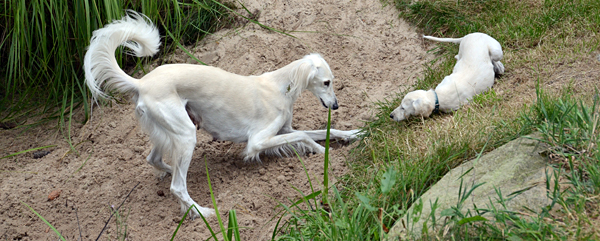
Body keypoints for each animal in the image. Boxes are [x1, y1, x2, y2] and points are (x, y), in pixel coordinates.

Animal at [83, 10, 356, 218]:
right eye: (326, 82)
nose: (336, 106)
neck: (280, 86)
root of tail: (141, 82)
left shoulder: (283, 129)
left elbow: (322, 130)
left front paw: (353, 134)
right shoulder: (258, 141)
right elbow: (304, 136)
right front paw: (321, 151)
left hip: (170, 130)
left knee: (154, 160)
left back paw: (174, 175)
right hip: (186, 134)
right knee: (177, 187)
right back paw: (202, 212)